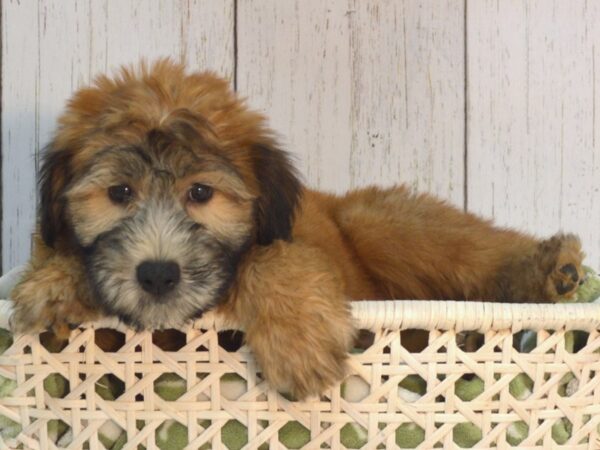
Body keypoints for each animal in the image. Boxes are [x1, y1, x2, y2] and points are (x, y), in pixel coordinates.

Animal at [10, 59, 584, 398]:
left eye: (201, 193)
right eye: (119, 193)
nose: (156, 275)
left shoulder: (289, 241)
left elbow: (272, 257)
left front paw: (297, 342)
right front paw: (54, 287)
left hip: (382, 225)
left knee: (478, 249)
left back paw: (547, 269)